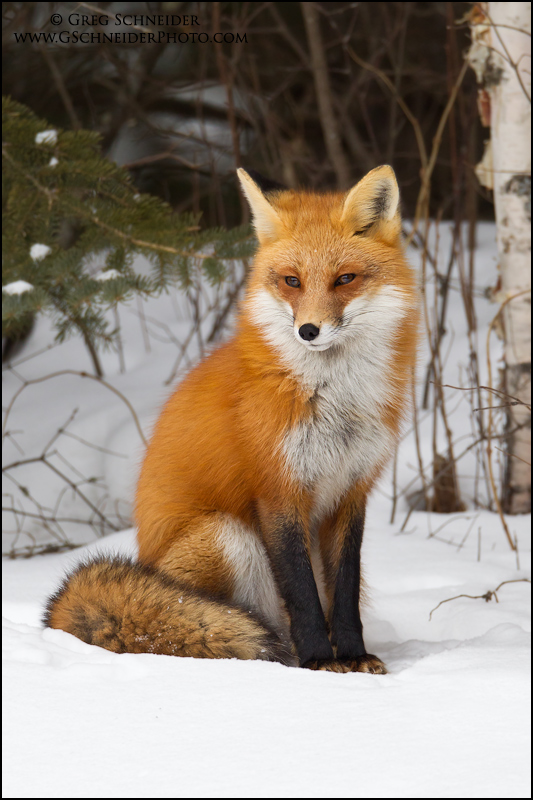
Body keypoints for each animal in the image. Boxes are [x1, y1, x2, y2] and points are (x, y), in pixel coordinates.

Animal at [44, 165, 419, 673]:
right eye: (291, 281)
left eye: (345, 279)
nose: (308, 330)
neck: (332, 397)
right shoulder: (277, 489)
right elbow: (302, 595)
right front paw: (320, 663)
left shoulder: (351, 491)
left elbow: (342, 593)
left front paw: (353, 656)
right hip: (227, 535)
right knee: (225, 623)